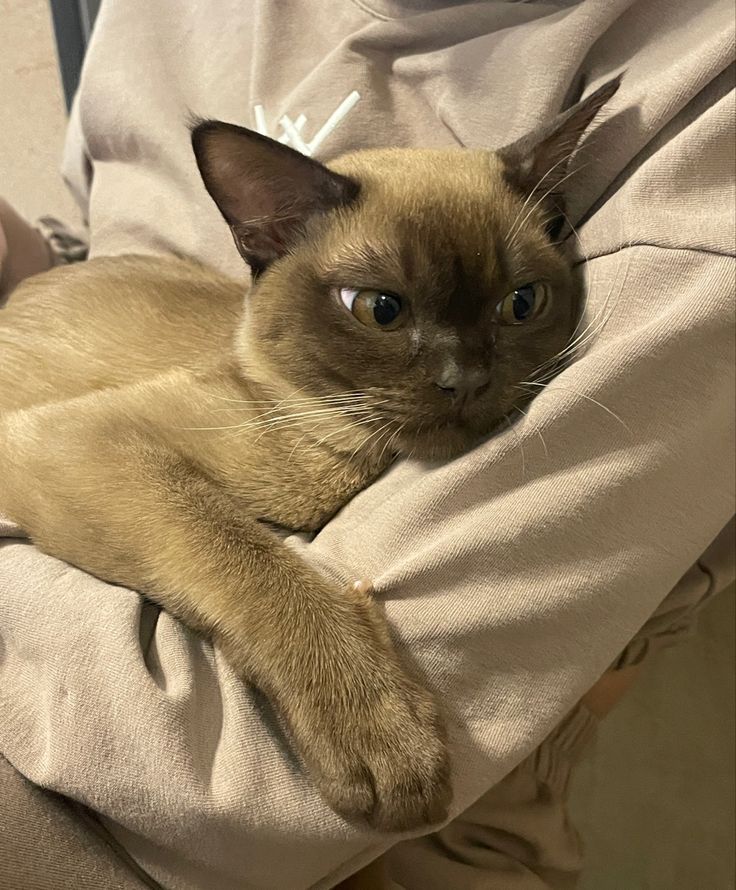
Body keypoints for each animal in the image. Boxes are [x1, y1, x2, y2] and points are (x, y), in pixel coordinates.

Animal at [0, 76, 620, 832]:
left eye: (521, 303)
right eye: (380, 309)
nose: (466, 380)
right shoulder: (85, 441)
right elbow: (253, 557)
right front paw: (385, 738)